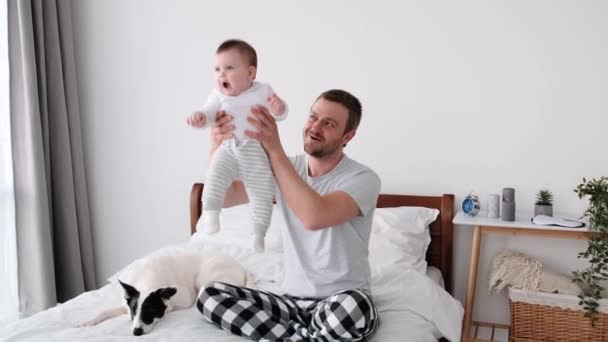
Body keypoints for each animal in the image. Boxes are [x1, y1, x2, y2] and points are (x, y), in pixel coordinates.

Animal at [79, 252, 254, 336]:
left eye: (151, 311)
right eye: (134, 311)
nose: (137, 332)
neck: (147, 280)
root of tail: (241, 268)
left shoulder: (184, 297)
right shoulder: (124, 305)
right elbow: (104, 311)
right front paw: (87, 321)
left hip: (204, 280)